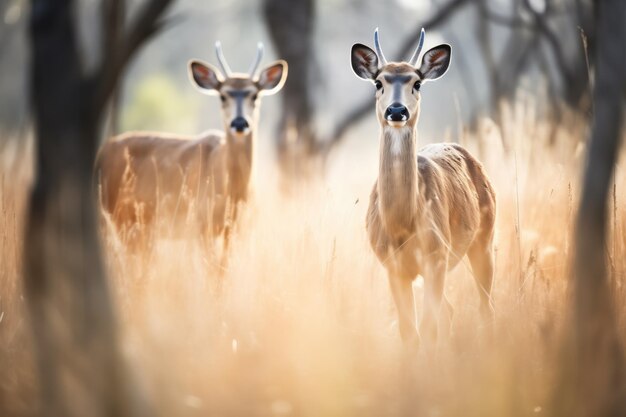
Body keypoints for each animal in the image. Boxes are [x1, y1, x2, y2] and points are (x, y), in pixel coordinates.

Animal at [95, 41, 288, 256]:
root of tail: (101, 154)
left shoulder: (235, 229)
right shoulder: (201, 224)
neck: (233, 190)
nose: (239, 123)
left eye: (254, 95)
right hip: (118, 216)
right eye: (223, 95)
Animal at [348, 30, 494, 348]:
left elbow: (426, 329)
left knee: (484, 305)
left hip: (484, 239)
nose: (396, 110)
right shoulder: (393, 266)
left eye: (417, 83)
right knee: (449, 311)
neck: (402, 225)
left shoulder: (436, 257)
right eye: (379, 82)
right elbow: (409, 333)